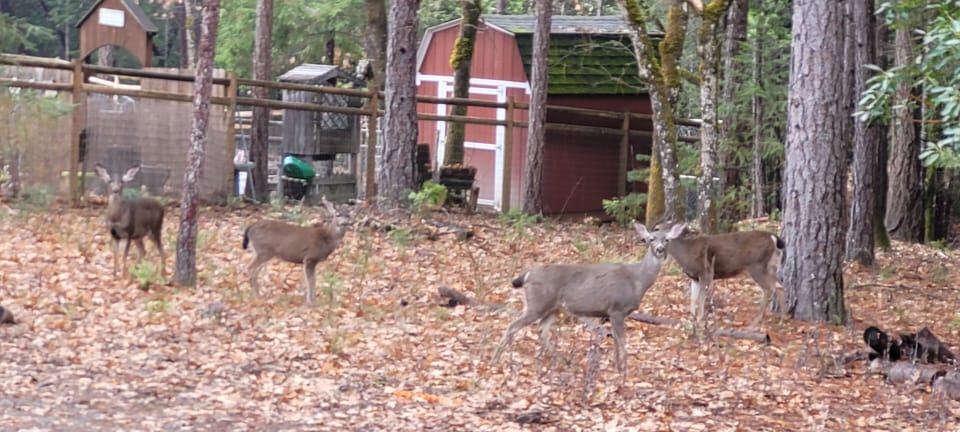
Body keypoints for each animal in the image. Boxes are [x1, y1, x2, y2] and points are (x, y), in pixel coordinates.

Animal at [491, 222, 686, 381]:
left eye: (667, 239)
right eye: (651, 239)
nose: (659, 249)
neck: (638, 280)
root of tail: (527, 275)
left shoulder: (612, 313)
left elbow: (616, 339)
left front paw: (617, 366)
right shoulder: (617, 308)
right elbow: (622, 340)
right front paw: (624, 369)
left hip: (553, 308)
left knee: (541, 330)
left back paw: (561, 359)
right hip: (537, 303)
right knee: (512, 326)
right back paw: (496, 358)